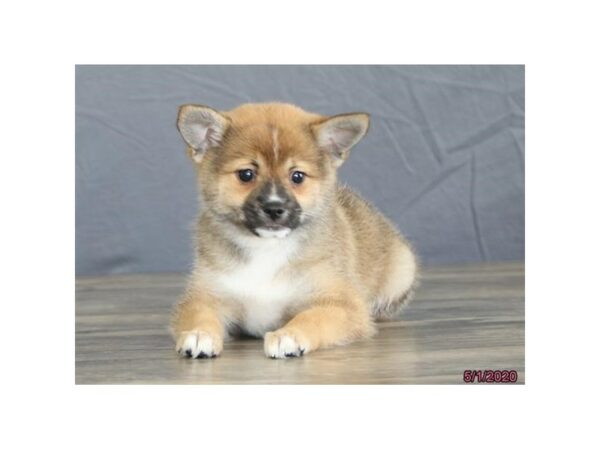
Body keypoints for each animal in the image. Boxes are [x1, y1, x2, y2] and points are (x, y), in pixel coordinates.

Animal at [171, 102, 420, 358]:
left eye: (297, 176)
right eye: (246, 174)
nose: (274, 207)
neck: (267, 249)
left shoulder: (342, 305)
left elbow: (312, 318)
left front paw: (289, 335)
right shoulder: (204, 297)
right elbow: (201, 315)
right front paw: (200, 334)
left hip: (403, 270)